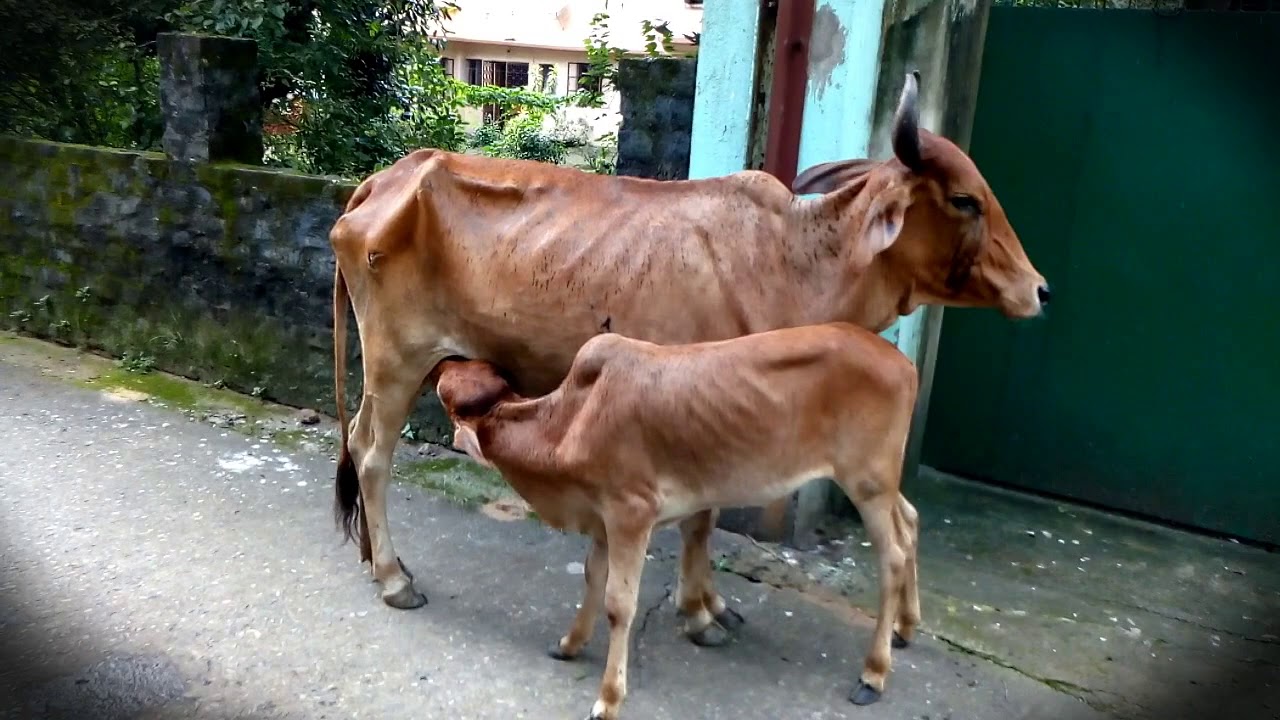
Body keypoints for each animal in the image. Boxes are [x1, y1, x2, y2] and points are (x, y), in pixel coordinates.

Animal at [328, 72, 1049, 628]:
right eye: (965, 200)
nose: (1038, 289)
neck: (797, 261)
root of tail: (389, 177)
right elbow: (703, 517)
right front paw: (701, 612)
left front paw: (707, 605)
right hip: (395, 358)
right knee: (371, 451)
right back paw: (393, 577)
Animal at [429, 321, 923, 718]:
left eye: (447, 393)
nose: (444, 360)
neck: (570, 421)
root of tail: (901, 361)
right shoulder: (603, 518)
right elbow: (592, 577)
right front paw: (570, 644)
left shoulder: (631, 512)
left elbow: (619, 604)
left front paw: (609, 698)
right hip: (881, 482)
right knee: (911, 521)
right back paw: (905, 627)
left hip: (867, 481)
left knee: (893, 557)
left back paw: (873, 673)